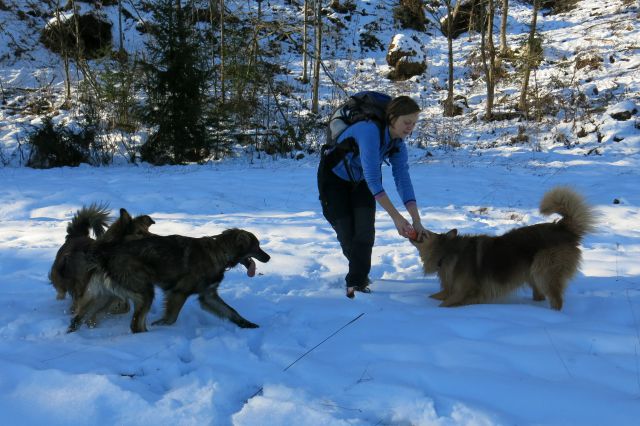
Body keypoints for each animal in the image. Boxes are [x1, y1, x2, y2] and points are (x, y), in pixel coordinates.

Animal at [67, 228, 270, 334]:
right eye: (257, 246)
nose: (268, 258)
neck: (220, 252)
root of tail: (106, 255)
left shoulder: (208, 296)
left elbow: (231, 311)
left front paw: (247, 324)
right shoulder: (179, 293)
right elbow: (171, 318)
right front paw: (161, 325)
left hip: (105, 296)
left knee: (78, 319)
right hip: (144, 292)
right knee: (136, 325)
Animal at [412, 186, 596, 310]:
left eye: (426, 233)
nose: (413, 226)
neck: (448, 252)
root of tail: (563, 228)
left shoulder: (465, 293)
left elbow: (443, 305)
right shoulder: (450, 290)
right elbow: (433, 296)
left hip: (544, 272)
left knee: (557, 301)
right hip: (533, 274)